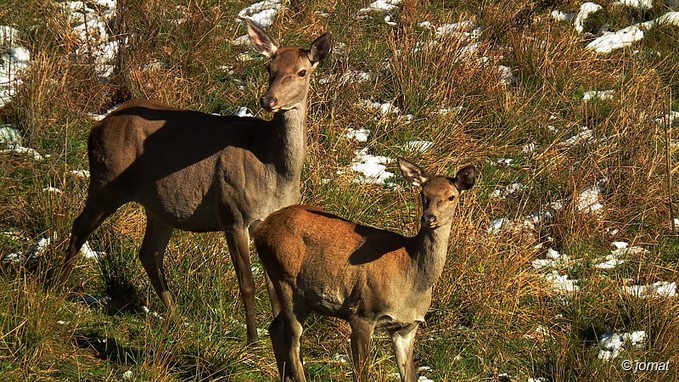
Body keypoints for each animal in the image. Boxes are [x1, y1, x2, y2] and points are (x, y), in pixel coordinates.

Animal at [59, 19, 330, 344]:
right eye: (269, 67)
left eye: (302, 71)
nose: (268, 100)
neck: (271, 169)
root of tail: (97, 126)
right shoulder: (232, 213)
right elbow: (247, 284)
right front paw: (252, 341)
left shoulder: (264, 225)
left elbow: (272, 288)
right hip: (106, 180)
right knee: (80, 225)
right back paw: (54, 288)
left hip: (157, 207)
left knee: (149, 252)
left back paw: (175, 315)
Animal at [252, 157, 476, 380]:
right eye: (423, 194)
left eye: (451, 197)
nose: (429, 218)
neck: (412, 278)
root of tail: (260, 228)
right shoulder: (362, 313)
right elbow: (361, 374)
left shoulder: (406, 328)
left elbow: (409, 375)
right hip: (285, 280)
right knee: (292, 343)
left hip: (303, 297)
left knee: (276, 328)